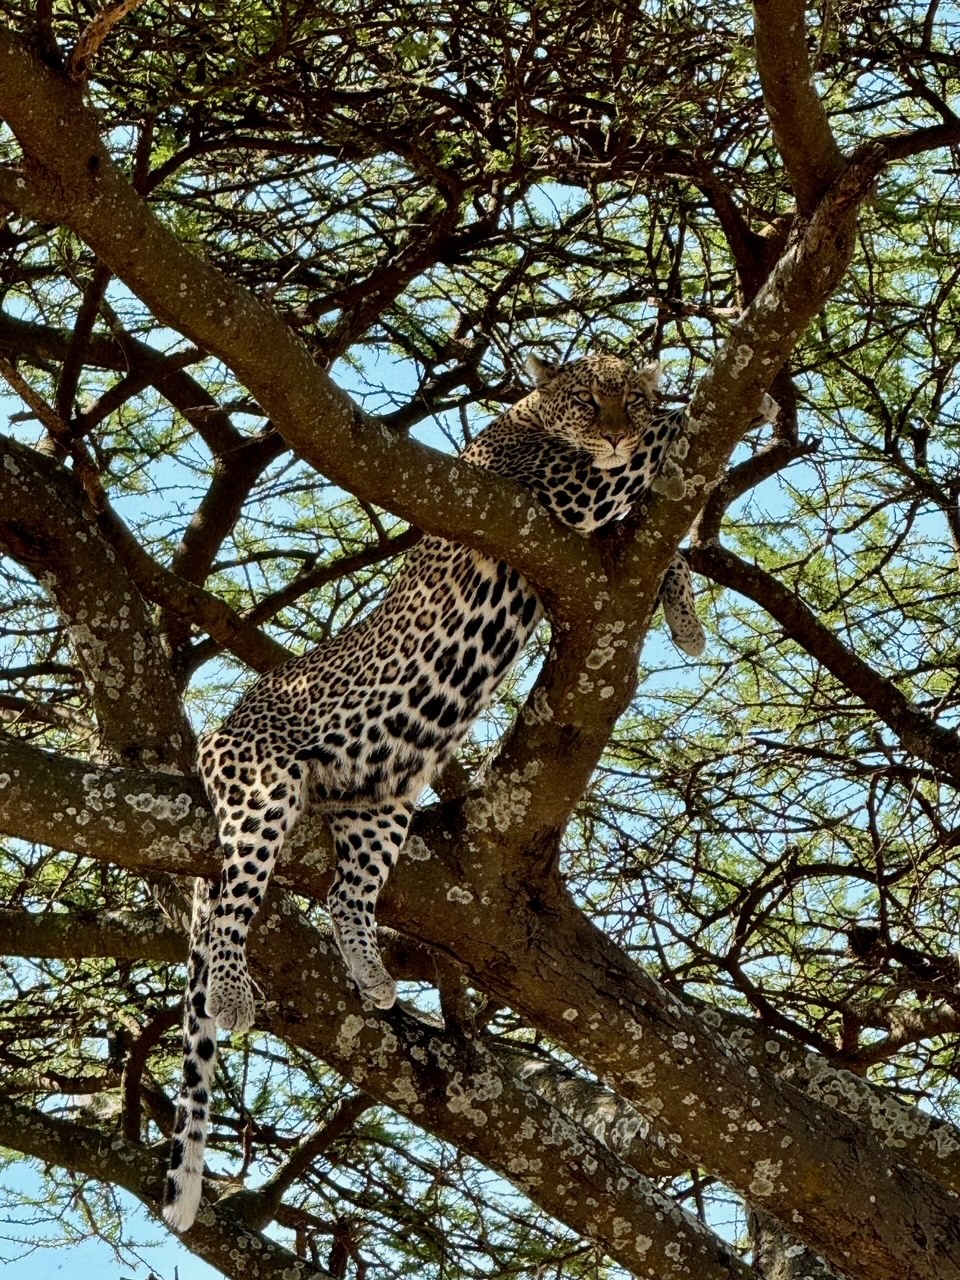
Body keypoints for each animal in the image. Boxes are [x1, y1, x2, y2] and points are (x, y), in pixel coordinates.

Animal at [162, 351, 731, 1232]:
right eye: (587, 398)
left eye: (628, 394)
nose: (615, 425)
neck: (530, 418)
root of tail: (219, 731)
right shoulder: (558, 495)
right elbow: (640, 465)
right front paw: (697, 409)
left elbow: (658, 545)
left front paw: (687, 618)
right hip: (261, 789)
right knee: (230, 903)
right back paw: (230, 994)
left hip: (382, 802)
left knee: (344, 896)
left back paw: (372, 979)